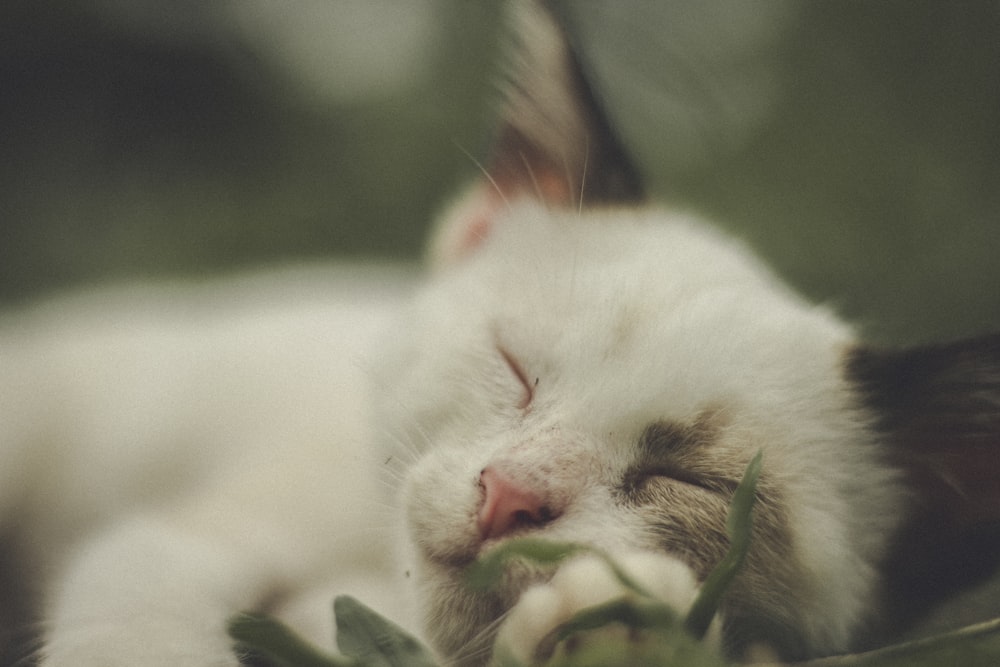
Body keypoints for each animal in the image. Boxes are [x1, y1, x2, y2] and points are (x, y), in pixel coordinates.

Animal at [1, 1, 1000, 667]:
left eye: (686, 480)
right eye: (515, 367)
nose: (508, 498)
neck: (368, 582)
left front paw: (608, 621)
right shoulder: (199, 532)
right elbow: (137, 616)